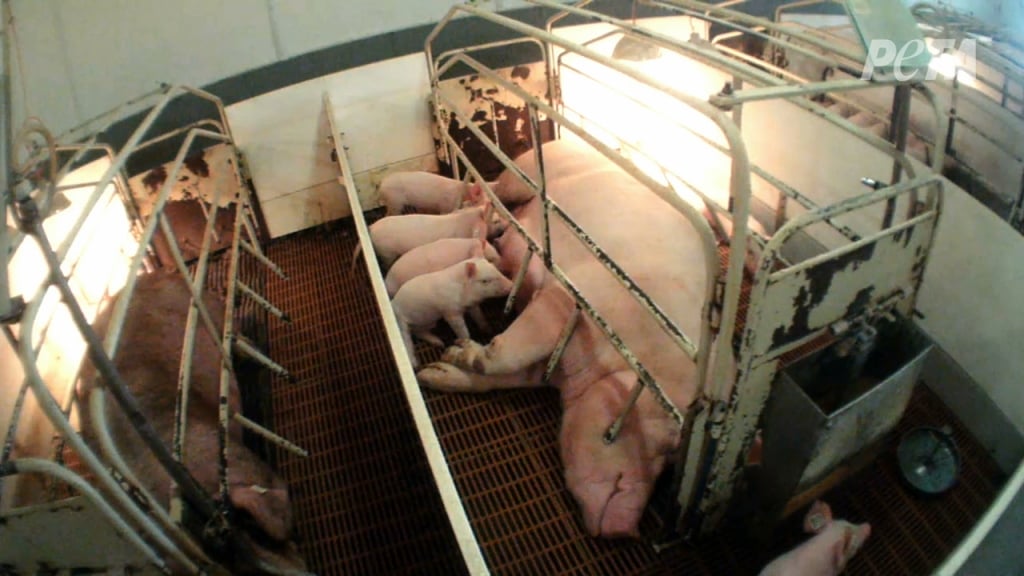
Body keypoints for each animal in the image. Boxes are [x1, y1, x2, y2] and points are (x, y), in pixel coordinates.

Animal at [77, 270, 305, 573]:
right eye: (233, 566)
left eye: (257, 534)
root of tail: (148, 276)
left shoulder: (257, 469)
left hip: (211, 307)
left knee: (233, 333)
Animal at [417, 136, 712, 537]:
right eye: (661, 445)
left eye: (667, 467)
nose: (626, 530)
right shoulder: (570, 299)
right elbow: (505, 353)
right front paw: (456, 354)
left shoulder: (549, 363)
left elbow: (503, 376)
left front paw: (435, 371)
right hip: (523, 174)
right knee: (499, 185)